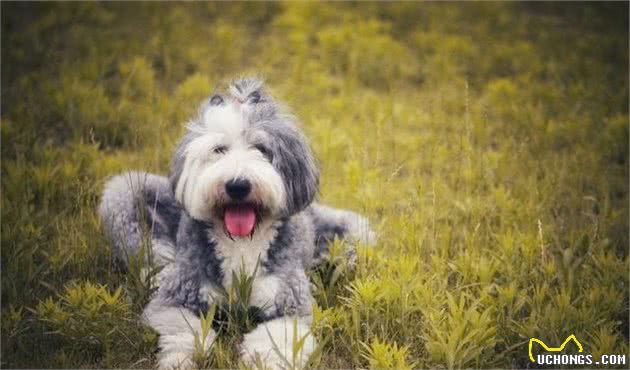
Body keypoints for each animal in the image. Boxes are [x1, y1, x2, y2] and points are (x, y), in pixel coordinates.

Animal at [99, 78, 376, 370]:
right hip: (123, 197)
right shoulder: (175, 299)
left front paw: (265, 362)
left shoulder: (290, 304)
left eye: (262, 149)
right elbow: (184, 330)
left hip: (355, 235)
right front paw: (180, 360)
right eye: (219, 149)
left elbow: (276, 337)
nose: (238, 185)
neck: (242, 243)